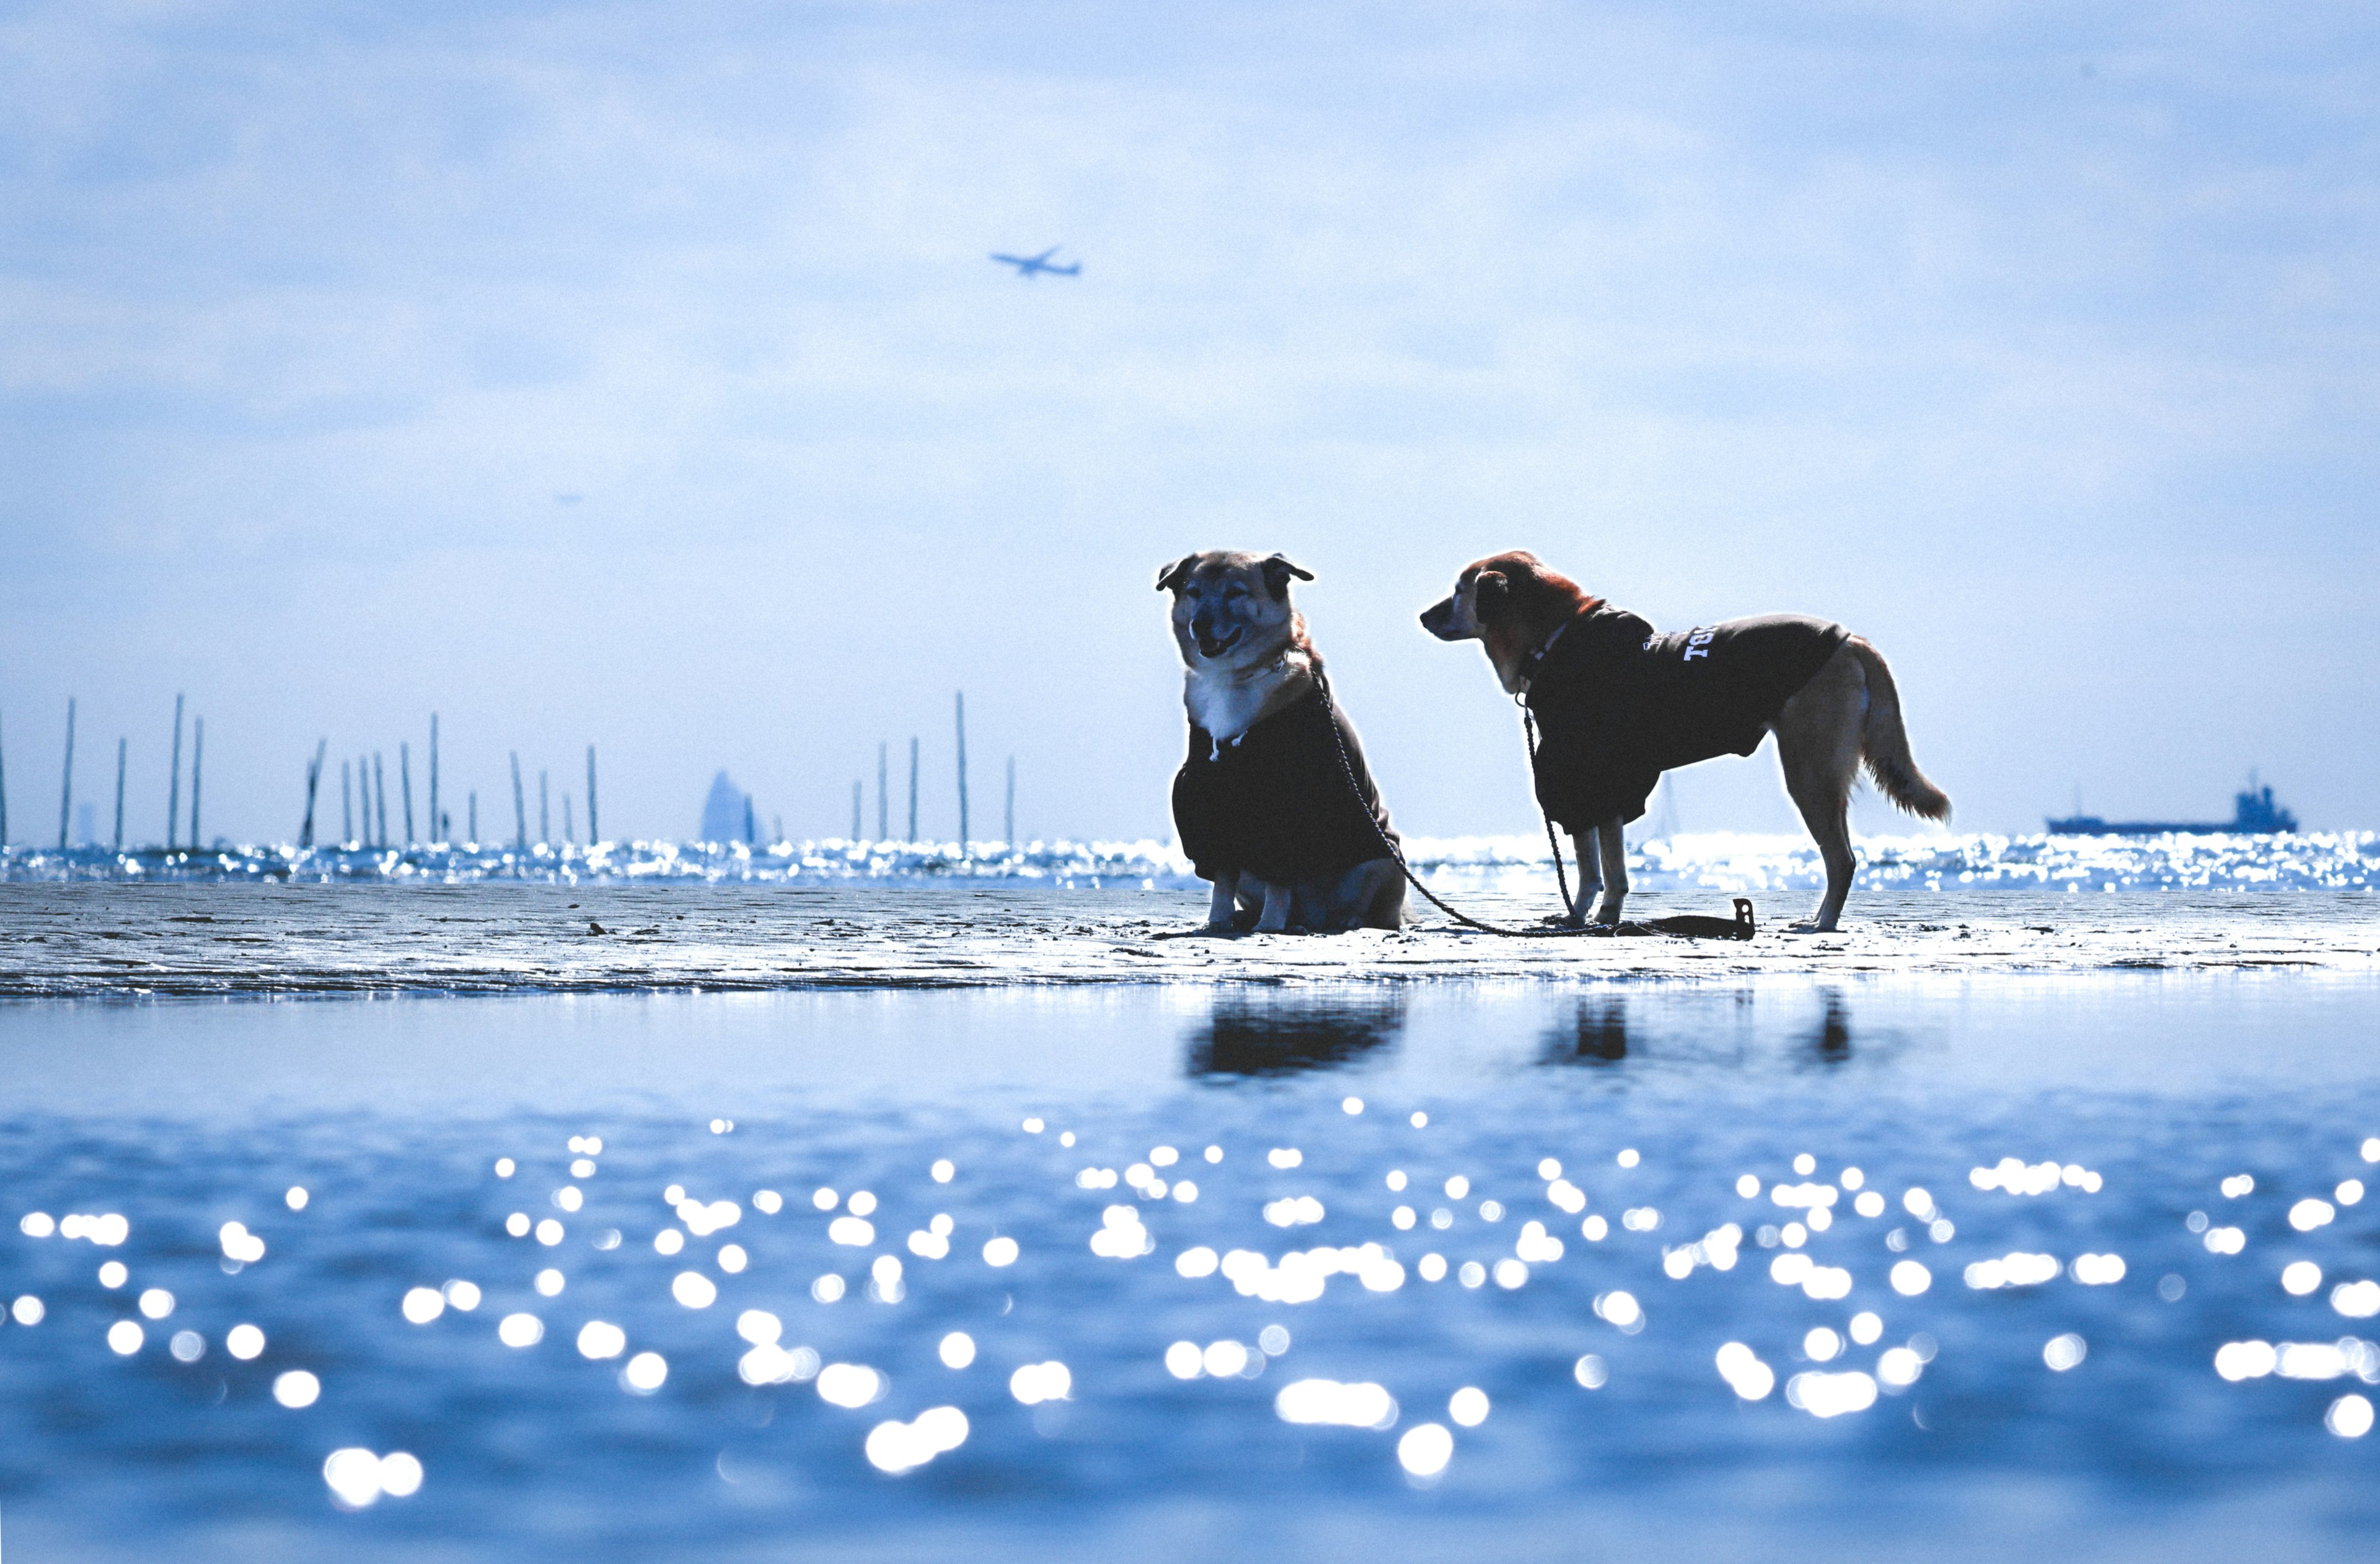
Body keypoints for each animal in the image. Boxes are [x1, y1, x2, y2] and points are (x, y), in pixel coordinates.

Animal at [1157, 550, 1399, 928]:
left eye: (1236, 593)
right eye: (1193, 593)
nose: (1200, 624)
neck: (1233, 677)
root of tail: (1313, 916)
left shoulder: (1287, 803)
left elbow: (1280, 880)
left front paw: (1270, 924)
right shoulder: (1209, 794)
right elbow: (1223, 878)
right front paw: (1218, 921)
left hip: (1384, 861)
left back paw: (1336, 921)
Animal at [1409, 552, 1951, 928]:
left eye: (1458, 592)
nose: (1422, 617)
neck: (1559, 637)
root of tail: (1850, 641)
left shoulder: (1590, 784)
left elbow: (1599, 869)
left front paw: (1596, 919)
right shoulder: (1595, 793)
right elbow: (1595, 868)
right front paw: (1586, 918)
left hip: (1809, 773)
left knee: (1842, 859)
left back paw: (1822, 924)